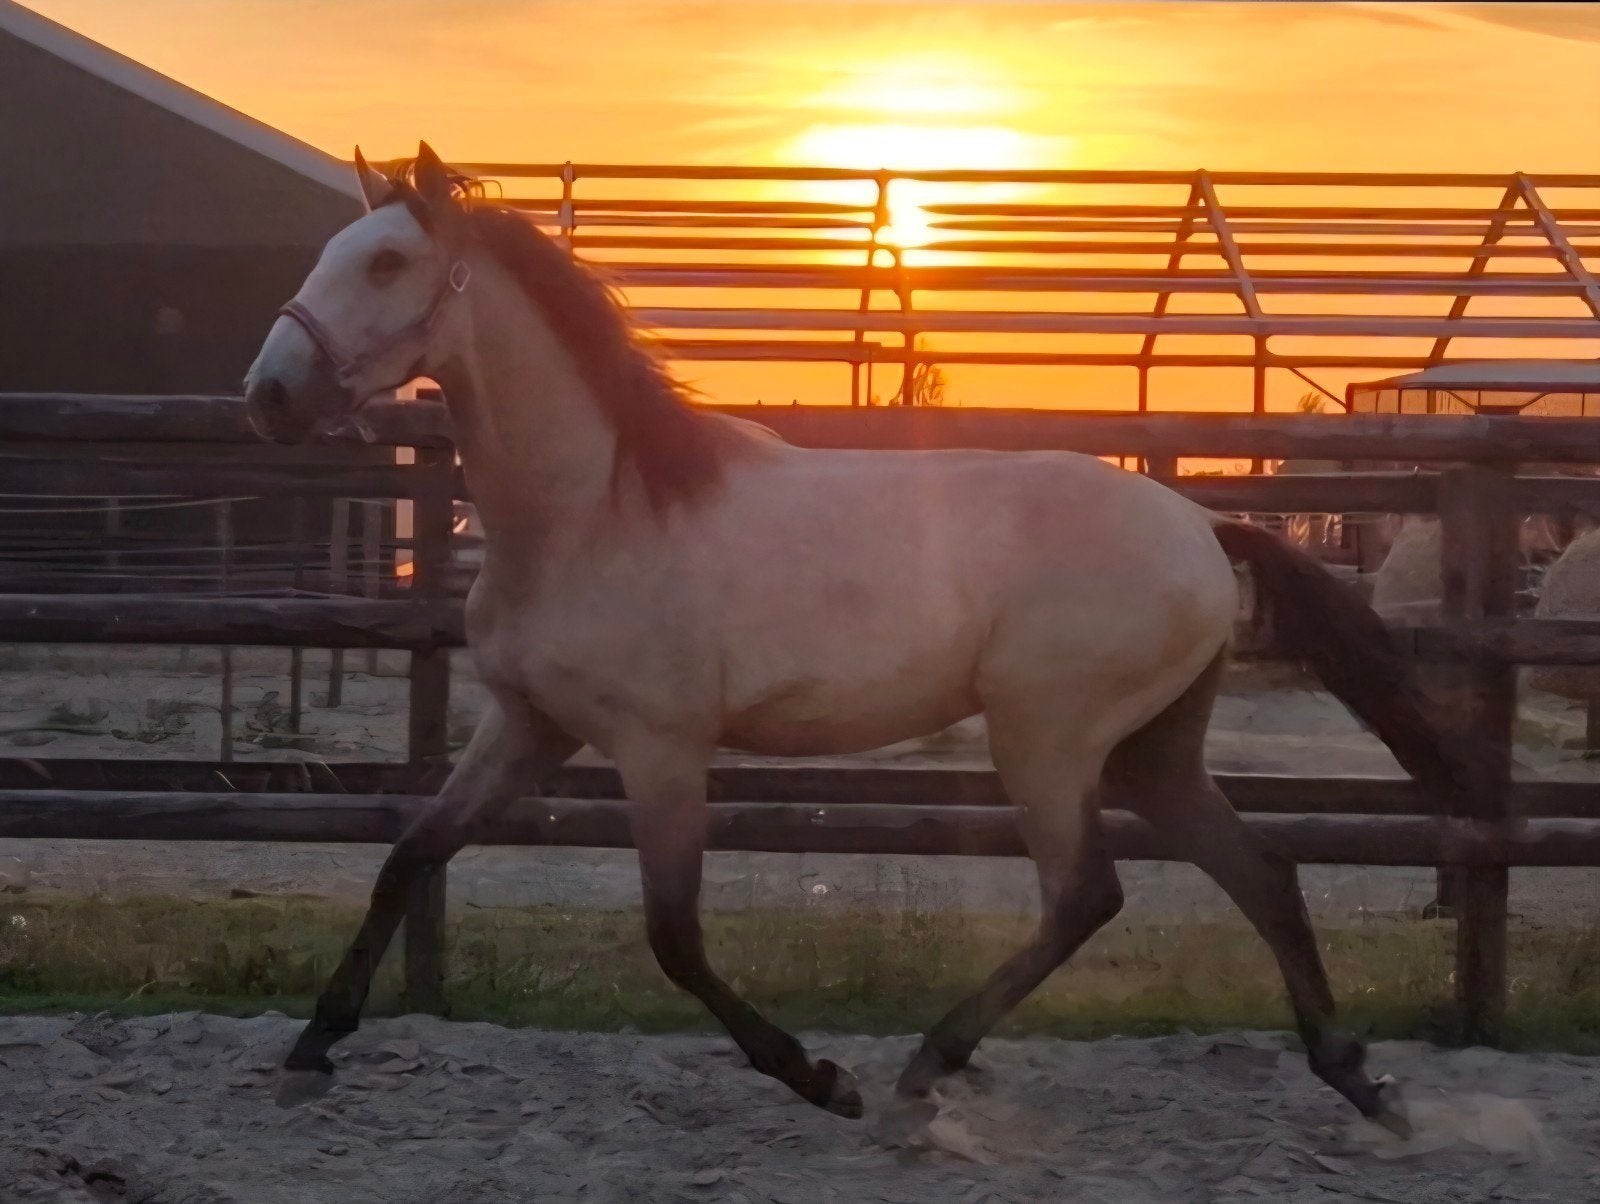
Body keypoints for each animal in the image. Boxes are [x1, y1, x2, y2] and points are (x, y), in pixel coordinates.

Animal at [244, 143, 1468, 1132]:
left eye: (386, 263)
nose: (268, 396)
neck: (593, 509)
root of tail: (1201, 525)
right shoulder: (530, 726)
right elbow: (409, 855)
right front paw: (311, 1045)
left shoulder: (659, 747)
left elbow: (673, 934)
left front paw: (820, 1078)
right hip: (1149, 748)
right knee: (1261, 871)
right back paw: (1356, 1077)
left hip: (1050, 739)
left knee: (1089, 894)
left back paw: (928, 1062)